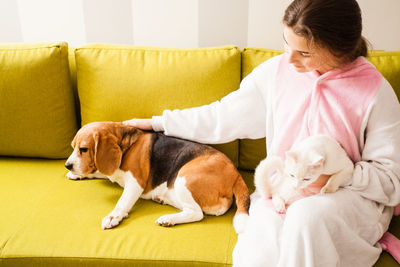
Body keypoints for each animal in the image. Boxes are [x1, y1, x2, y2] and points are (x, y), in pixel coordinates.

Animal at [64, 121, 248, 232]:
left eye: (84, 149)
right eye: (73, 147)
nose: (67, 165)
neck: (127, 147)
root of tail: (235, 173)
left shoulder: (135, 183)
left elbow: (122, 201)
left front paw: (114, 216)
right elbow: (101, 172)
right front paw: (76, 174)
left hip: (183, 176)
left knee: (196, 213)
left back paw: (168, 219)